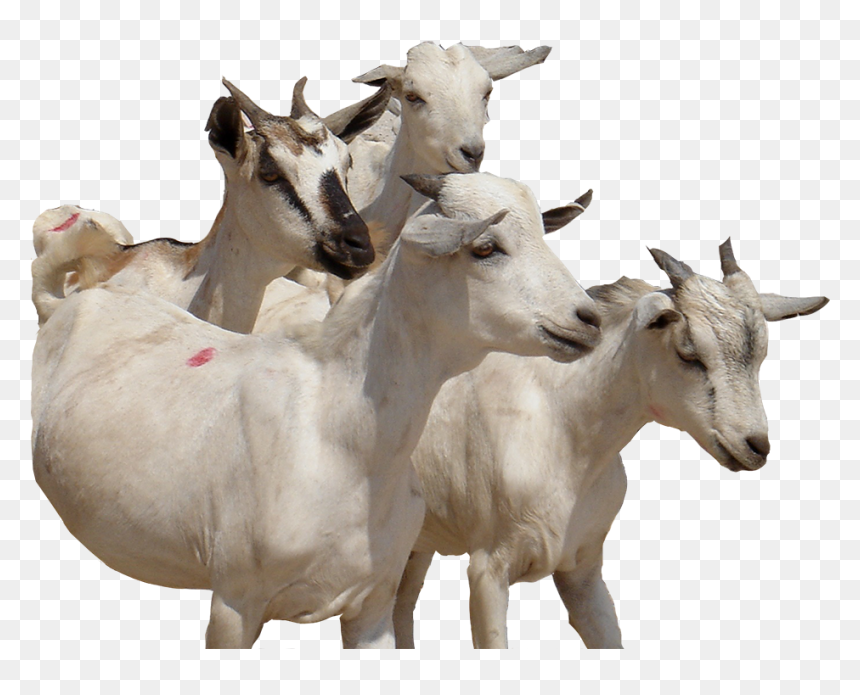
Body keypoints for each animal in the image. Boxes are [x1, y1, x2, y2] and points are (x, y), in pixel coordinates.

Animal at [31, 172, 602, 649]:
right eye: (485, 247)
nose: (588, 319)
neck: (337, 429)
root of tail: (70, 301)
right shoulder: (235, 601)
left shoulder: (373, 604)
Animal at [392, 240, 829, 648]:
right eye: (688, 351)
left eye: (760, 357)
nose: (754, 446)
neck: (562, 425)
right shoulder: (488, 570)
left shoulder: (582, 569)